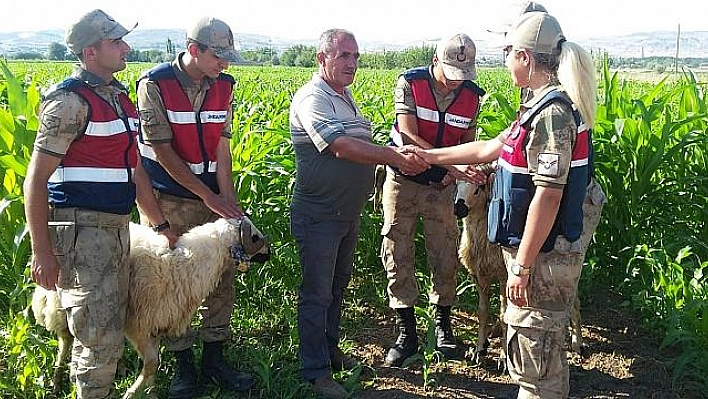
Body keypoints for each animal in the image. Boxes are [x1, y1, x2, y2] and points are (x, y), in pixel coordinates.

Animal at [30, 217, 270, 398]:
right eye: (254, 237)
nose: (270, 253)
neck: (186, 264)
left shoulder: (157, 324)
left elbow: (152, 366)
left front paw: (149, 393)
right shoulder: (138, 325)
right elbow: (153, 363)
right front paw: (131, 393)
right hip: (61, 300)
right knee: (66, 338)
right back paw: (57, 380)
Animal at [460, 179, 580, 366]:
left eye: (478, 189)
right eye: (456, 185)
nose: (458, 209)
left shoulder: (504, 277)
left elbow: (503, 314)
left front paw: (503, 358)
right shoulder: (479, 275)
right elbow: (482, 312)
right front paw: (479, 350)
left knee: (574, 301)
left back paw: (576, 343)